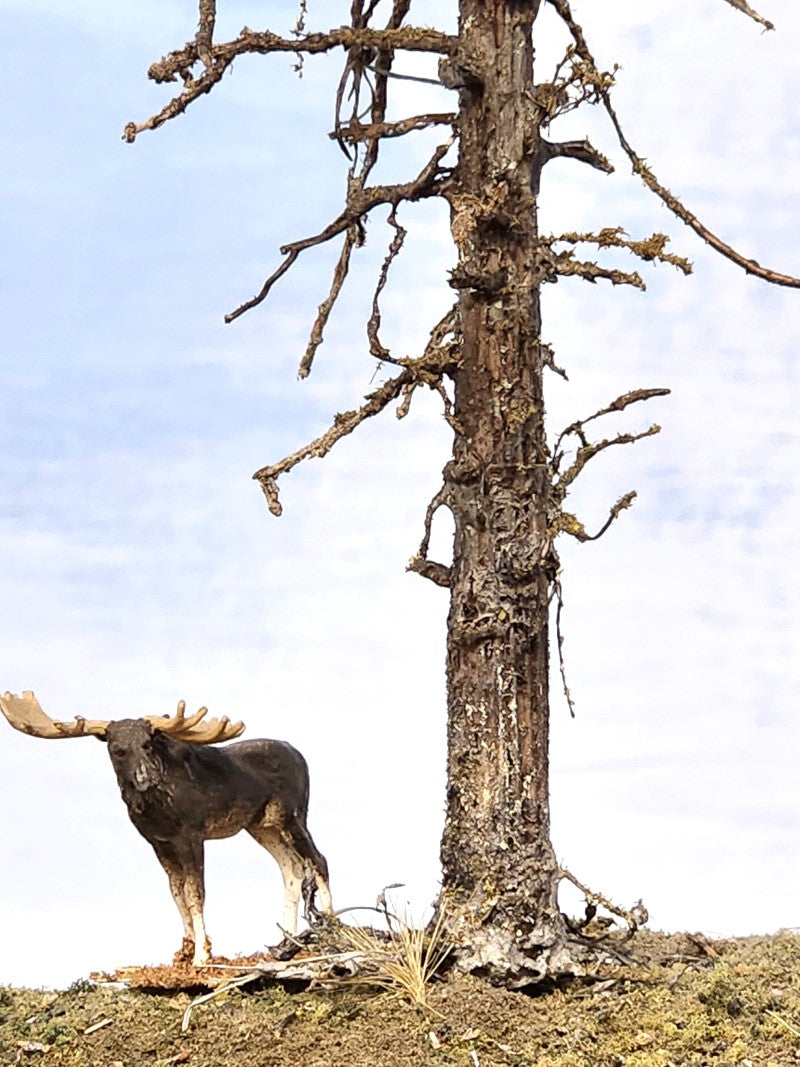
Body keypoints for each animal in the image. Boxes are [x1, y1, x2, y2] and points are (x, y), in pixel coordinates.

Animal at [0, 690, 333, 966]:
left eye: (147, 743)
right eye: (118, 749)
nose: (145, 777)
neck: (155, 811)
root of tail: (301, 757)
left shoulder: (192, 834)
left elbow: (195, 891)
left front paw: (201, 956)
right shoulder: (158, 842)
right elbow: (176, 892)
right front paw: (183, 952)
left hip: (294, 815)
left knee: (318, 859)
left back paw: (329, 929)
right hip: (262, 826)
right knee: (291, 868)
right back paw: (284, 941)